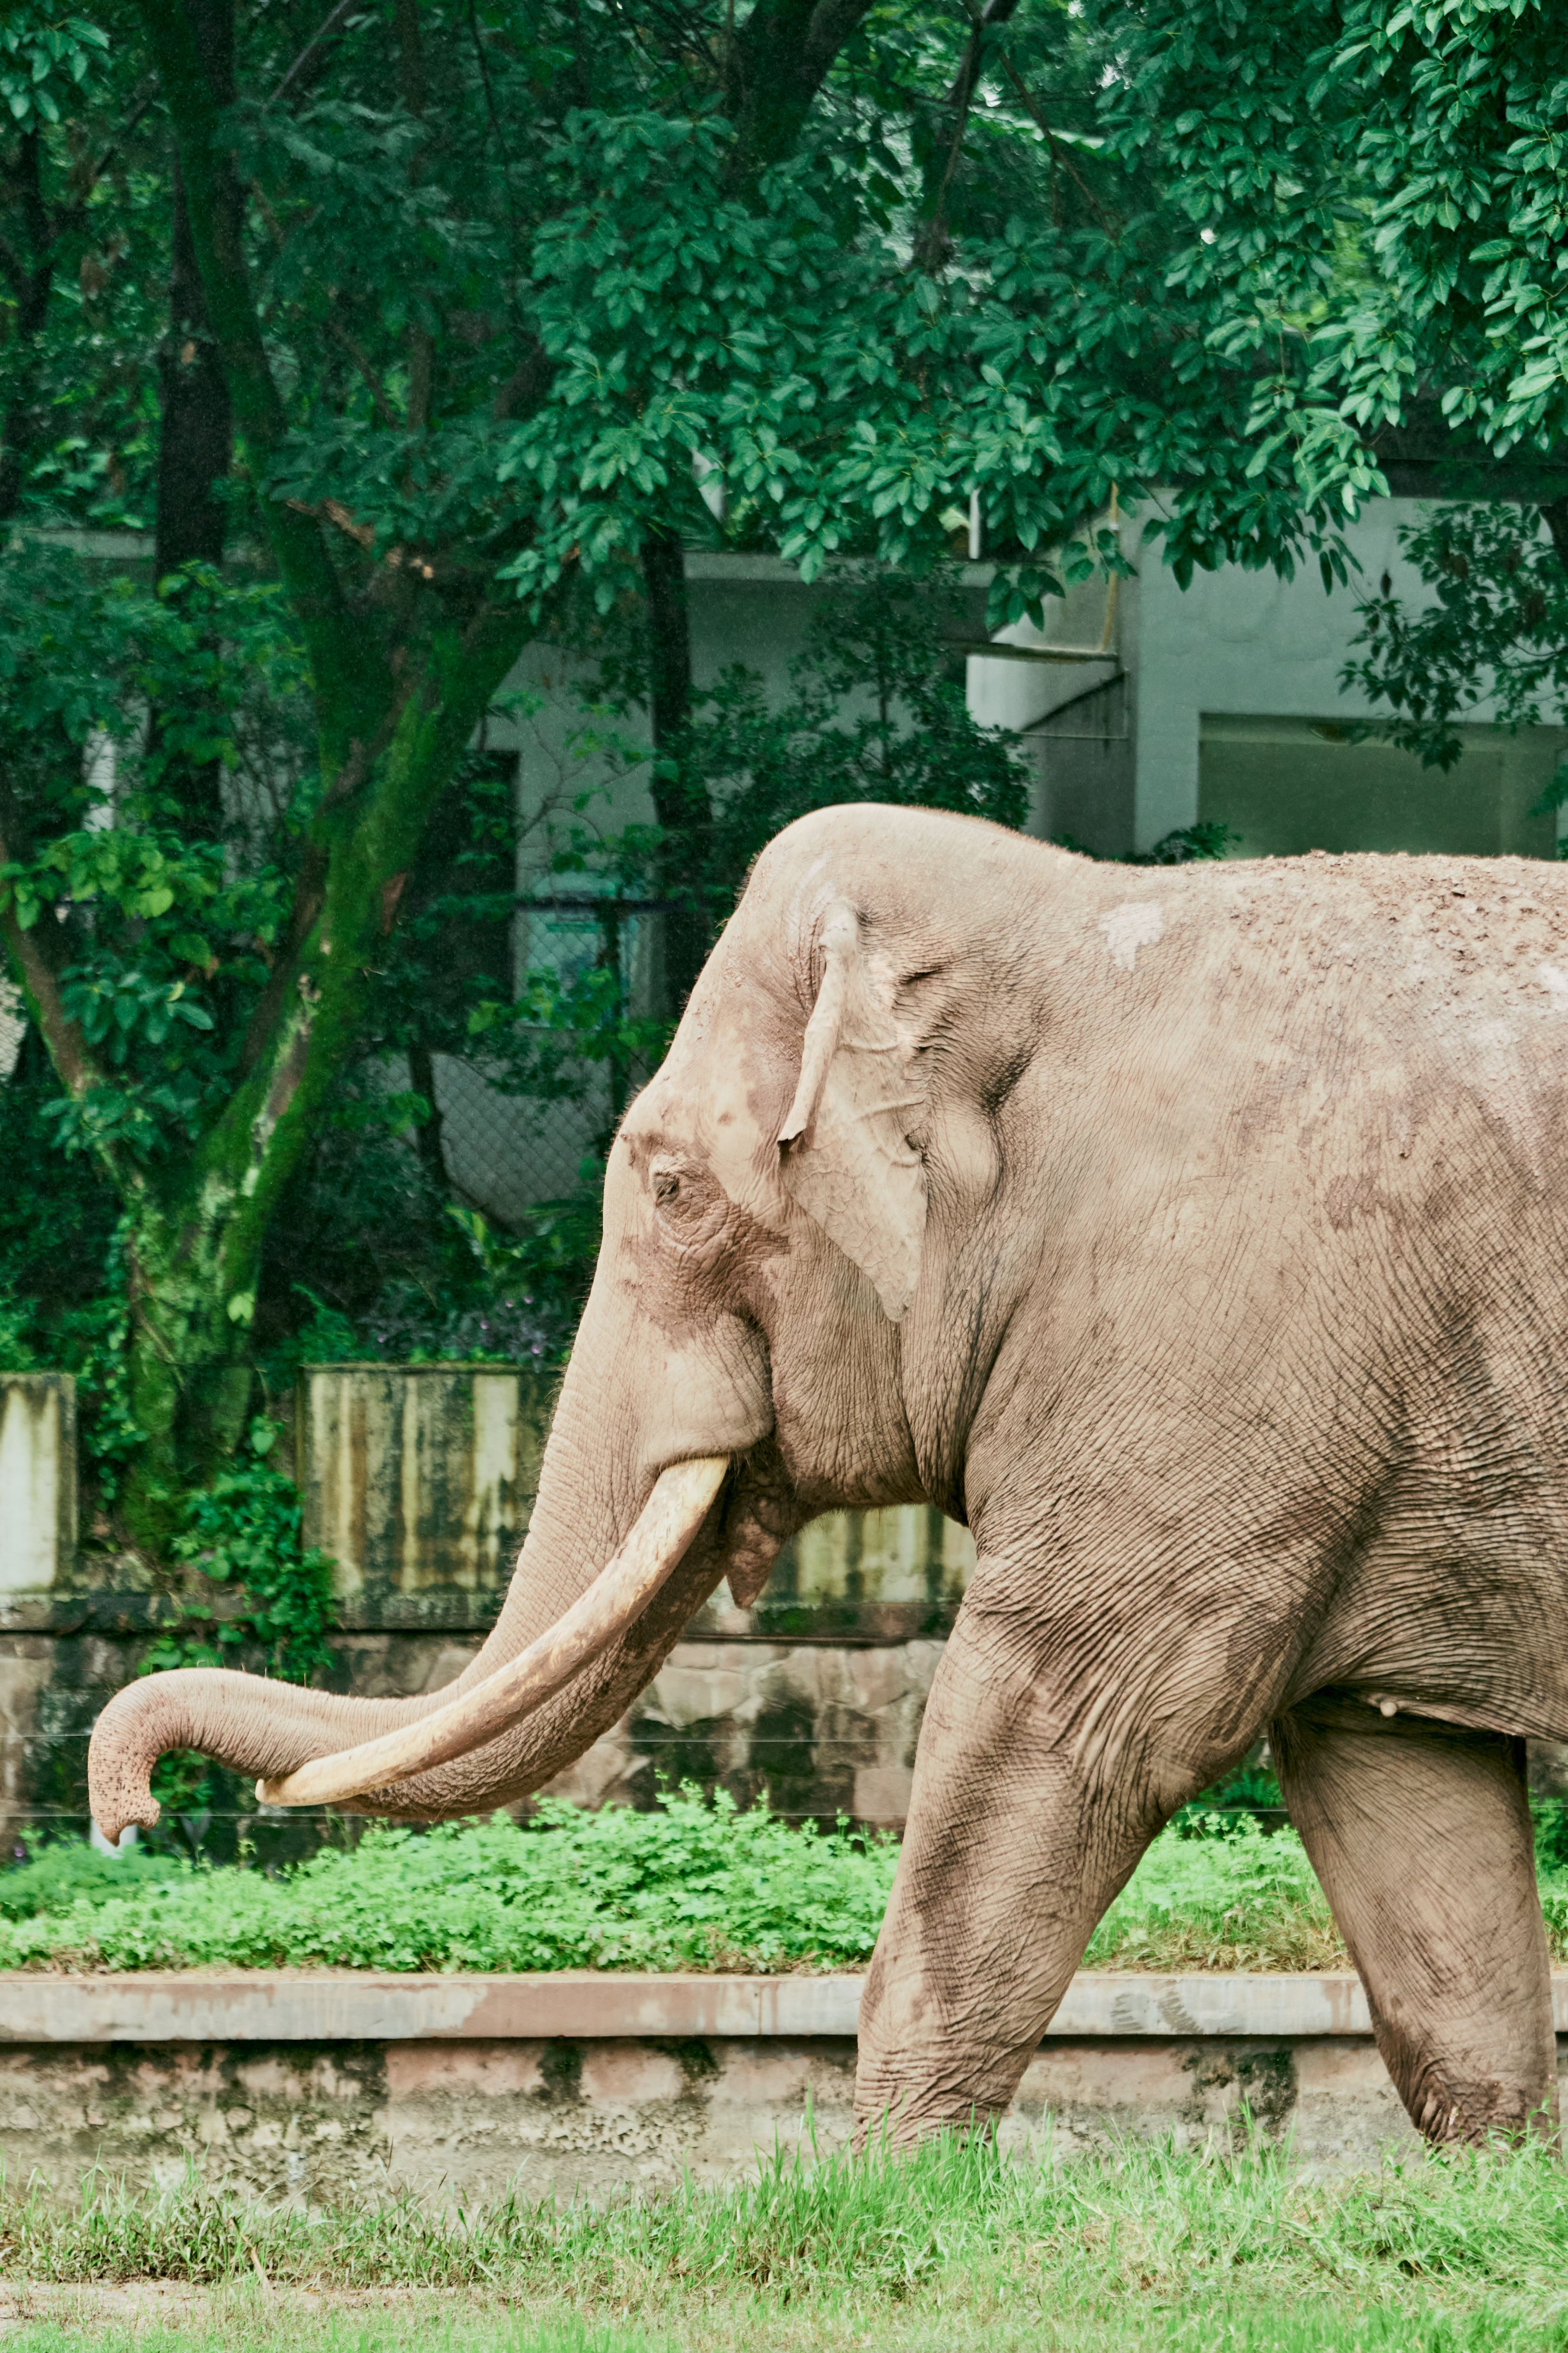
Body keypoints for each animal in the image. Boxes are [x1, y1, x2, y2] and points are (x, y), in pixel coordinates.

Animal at [91, 801, 1568, 2149]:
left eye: (672, 1187)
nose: (129, 1814)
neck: (1071, 919)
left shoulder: (1209, 1323)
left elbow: (1070, 1715)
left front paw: (886, 2192)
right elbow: (1396, 1786)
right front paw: (1487, 2173)